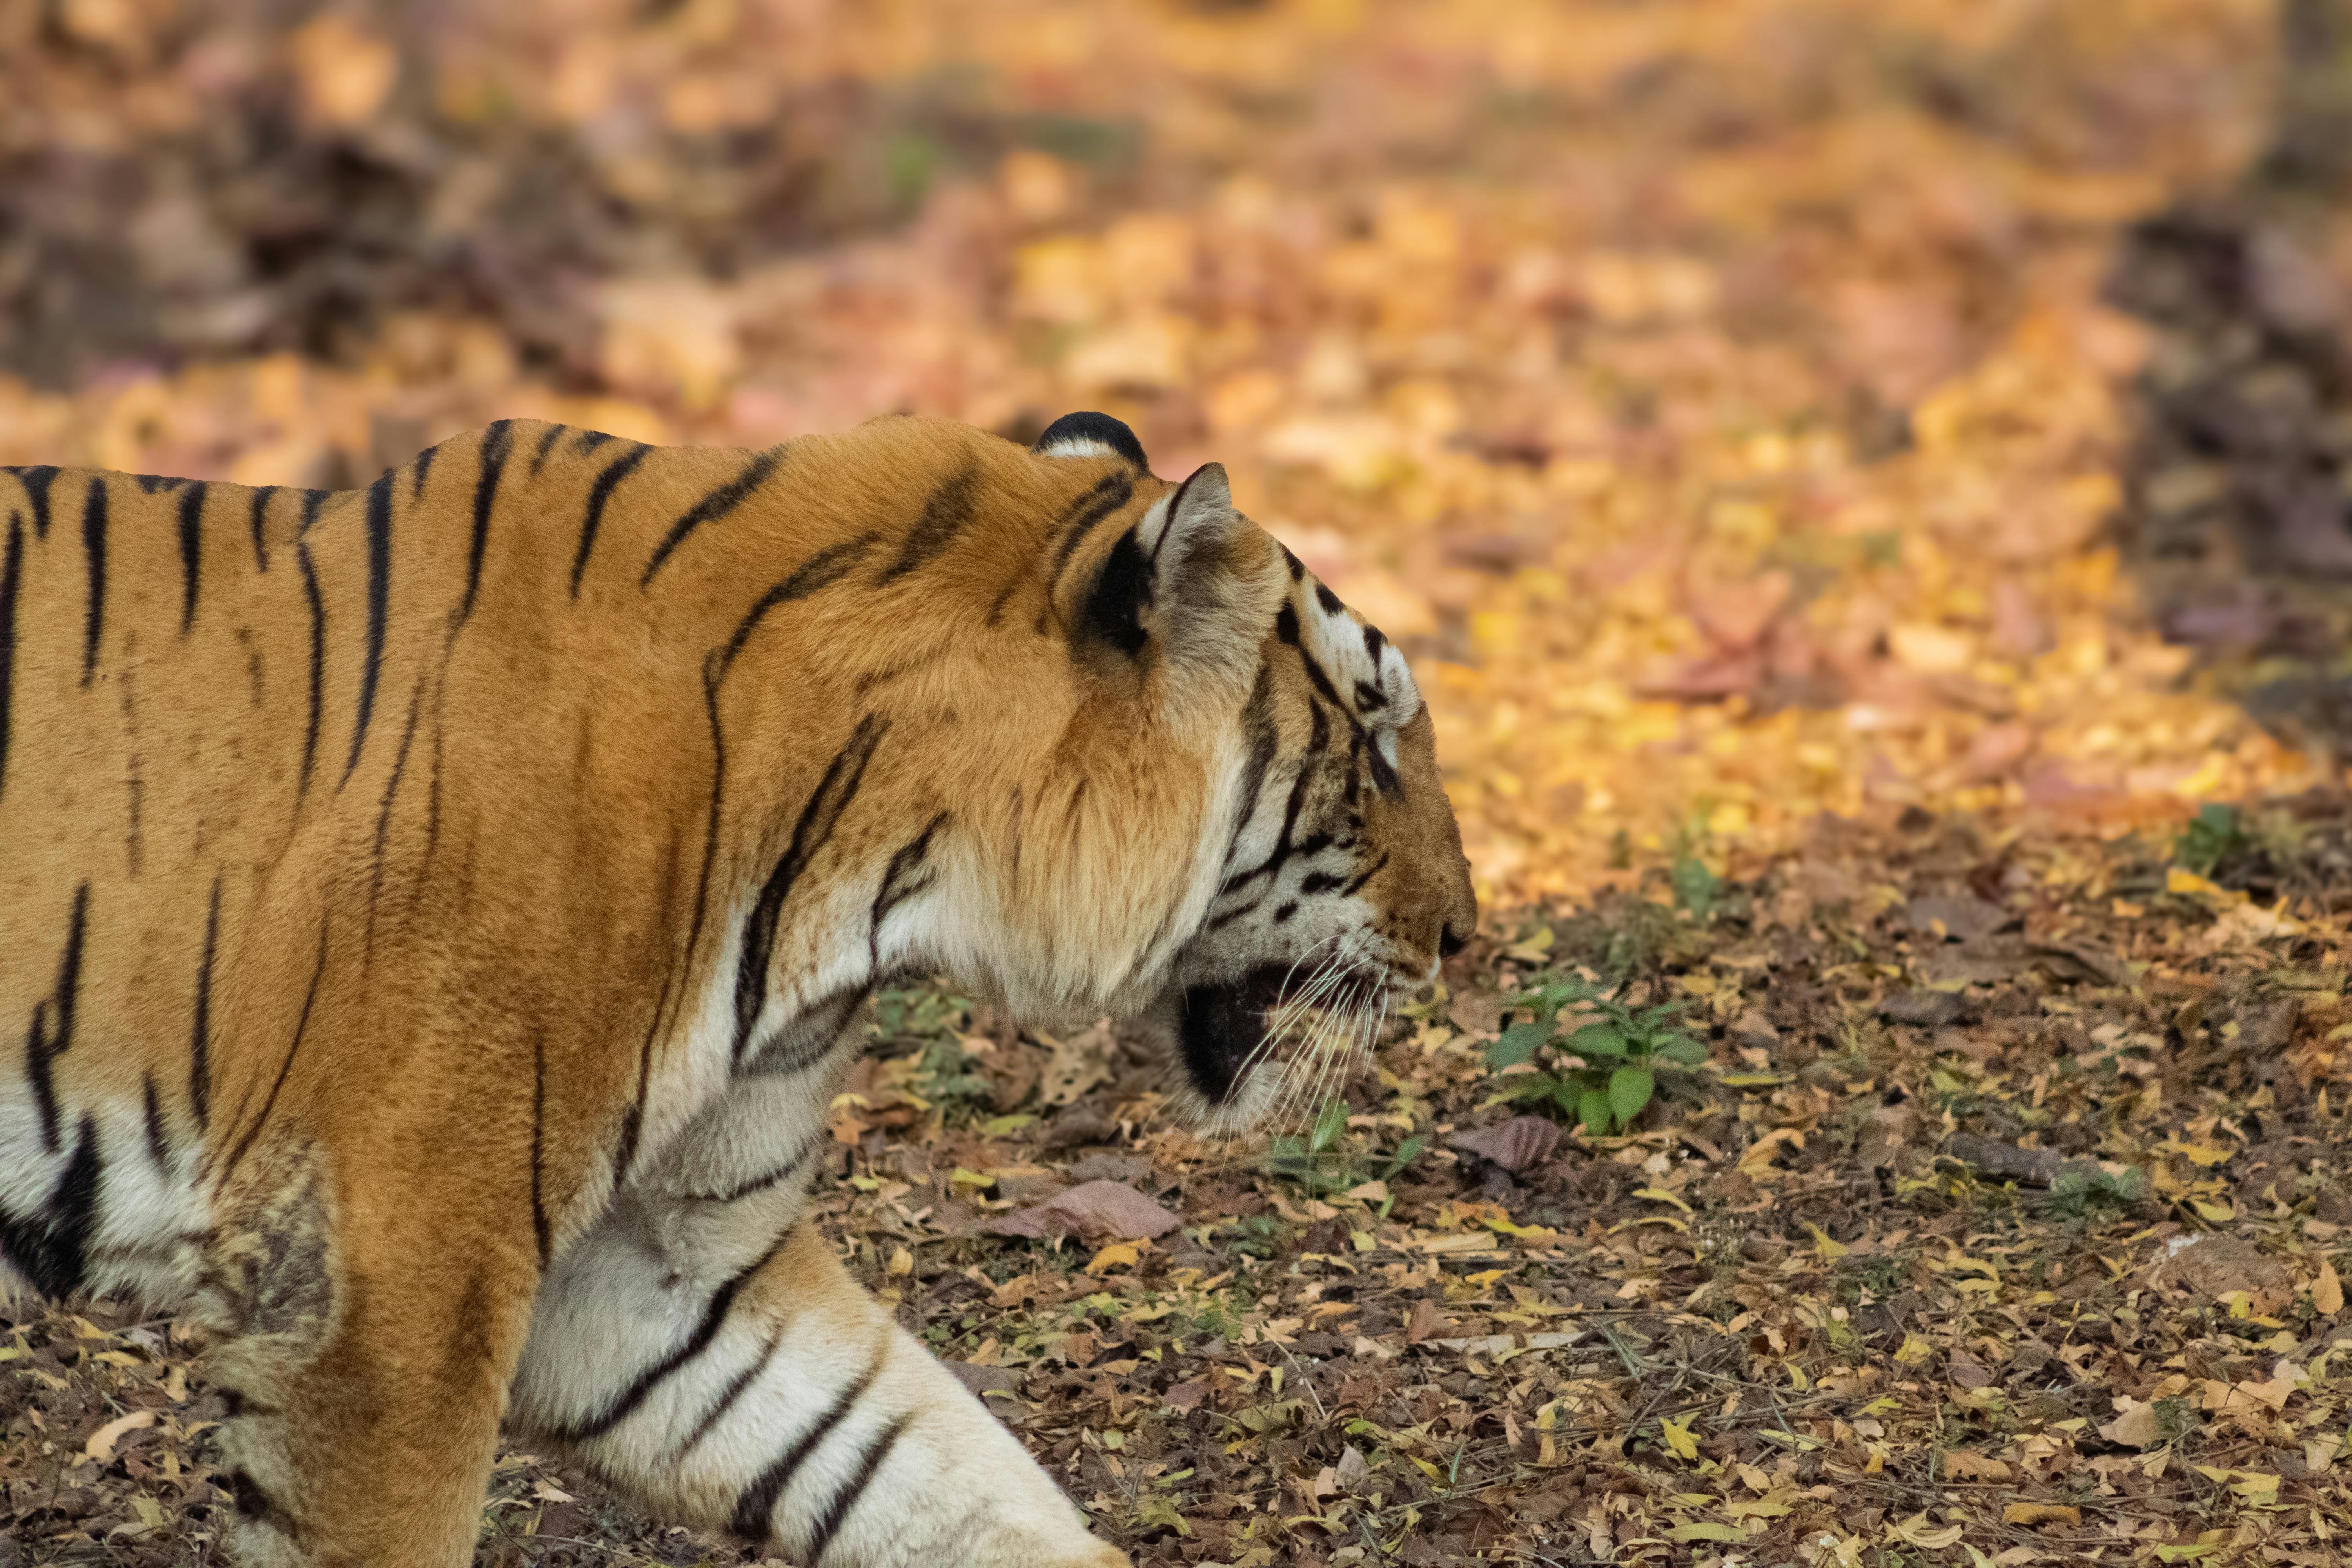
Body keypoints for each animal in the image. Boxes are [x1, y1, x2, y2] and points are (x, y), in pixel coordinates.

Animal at [0, 407, 1476, 1566]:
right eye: (1375, 742)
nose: (1465, 933)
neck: (887, 873)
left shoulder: (656, 1267)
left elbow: (924, 1464)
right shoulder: (385, 1293)